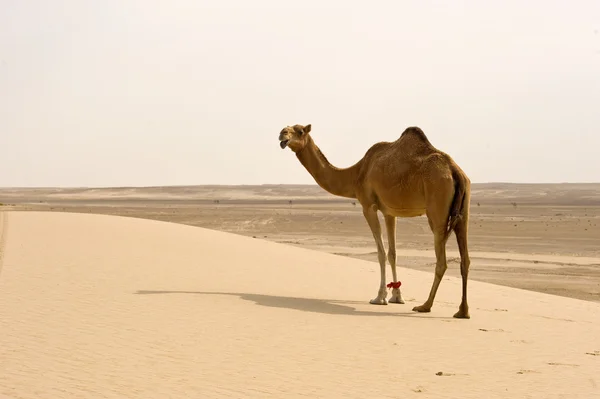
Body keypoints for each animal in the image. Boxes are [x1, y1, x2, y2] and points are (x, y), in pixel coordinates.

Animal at [278, 124, 472, 318]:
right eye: (287, 128)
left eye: (299, 131)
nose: (282, 134)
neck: (357, 173)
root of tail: (455, 171)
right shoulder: (390, 212)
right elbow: (393, 253)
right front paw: (396, 296)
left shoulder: (368, 206)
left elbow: (381, 252)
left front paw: (380, 297)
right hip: (464, 210)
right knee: (465, 259)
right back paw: (462, 311)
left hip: (437, 208)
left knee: (441, 261)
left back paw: (425, 305)